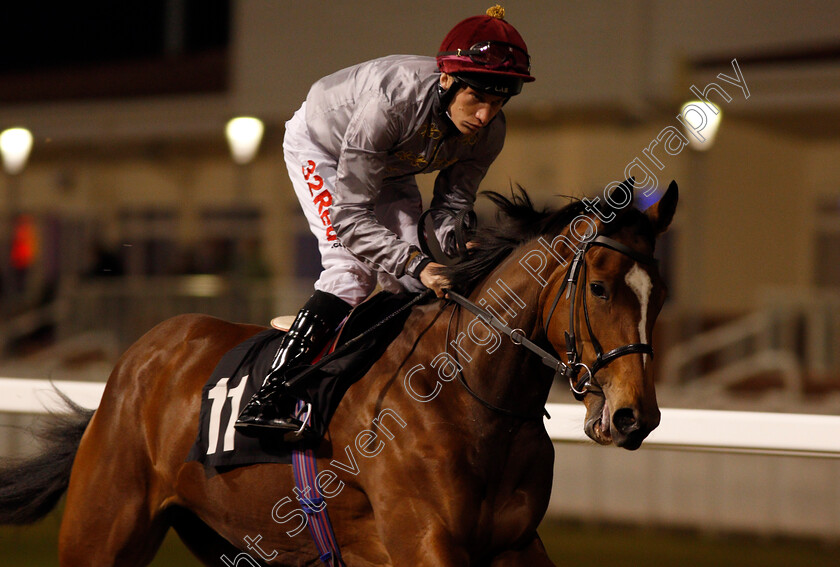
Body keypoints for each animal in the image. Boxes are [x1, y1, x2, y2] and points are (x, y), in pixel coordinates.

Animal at [0, 181, 676, 564]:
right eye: (599, 288)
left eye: (660, 294)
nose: (633, 416)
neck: (470, 399)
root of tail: (136, 361)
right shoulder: (424, 542)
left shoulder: (515, 543)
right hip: (101, 529)